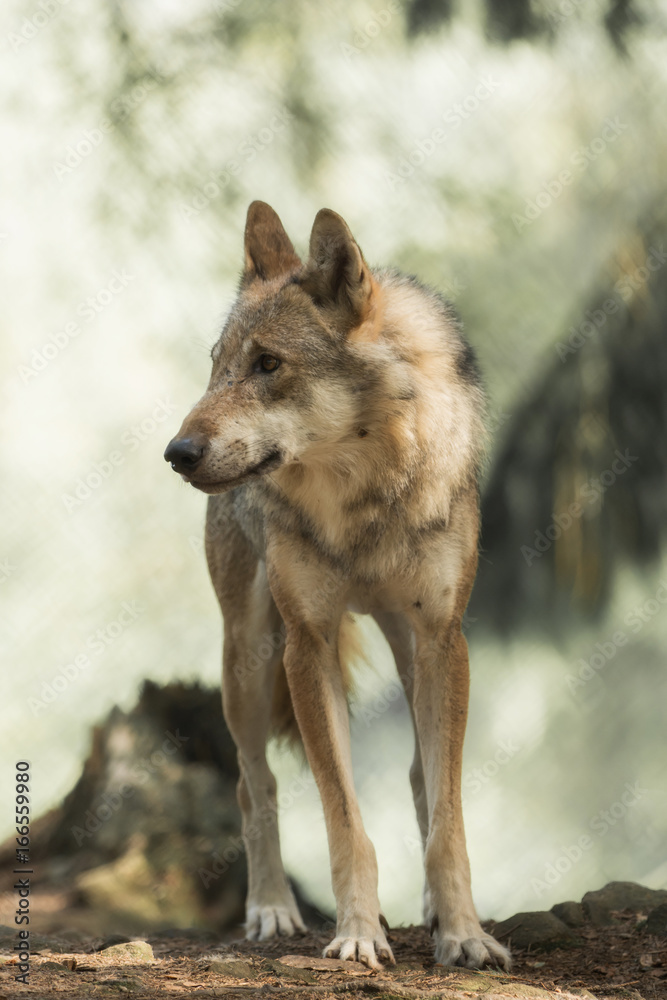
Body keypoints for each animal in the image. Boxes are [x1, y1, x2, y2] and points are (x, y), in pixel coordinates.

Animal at [164, 201, 510, 971]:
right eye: (215, 367)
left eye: (267, 365)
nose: (177, 452)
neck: (365, 495)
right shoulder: (308, 644)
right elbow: (344, 817)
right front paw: (356, 933)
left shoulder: (444, 639)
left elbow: (447, 815)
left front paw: (463, 933)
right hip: (248, 659)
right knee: (252, 783)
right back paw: (271, 909)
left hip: (408, 651)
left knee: (419, 776)